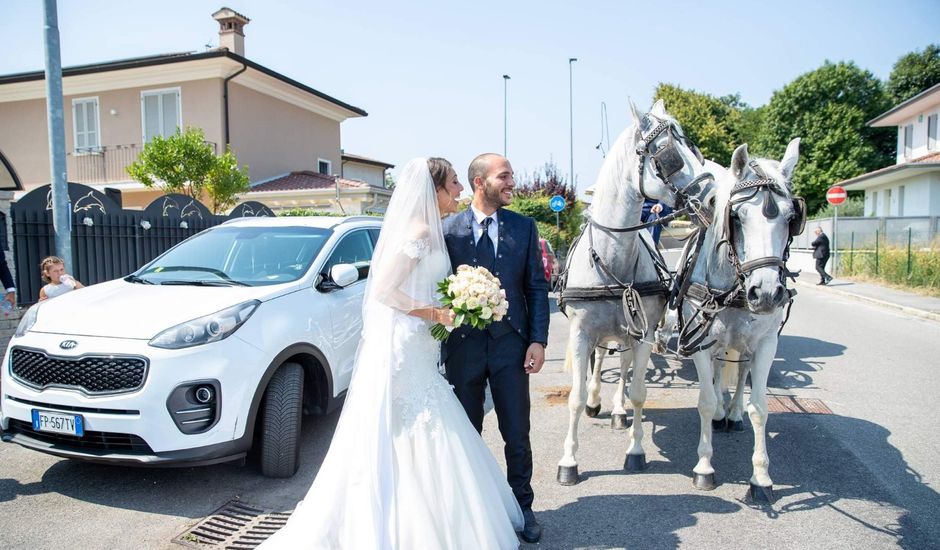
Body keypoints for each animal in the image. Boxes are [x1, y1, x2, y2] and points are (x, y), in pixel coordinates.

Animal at [560, 100, 712, 488]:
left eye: (694, 147)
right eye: (670, 155)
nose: (713, 198)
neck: (612, 258)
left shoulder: (643, 331)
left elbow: (639, 392)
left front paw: (636, 451)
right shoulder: (580, 333)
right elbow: (575, 396)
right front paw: (569, 461)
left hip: (629, 330)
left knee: (626, 367)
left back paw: (616, 410)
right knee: (601, 361)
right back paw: (597, 401)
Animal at [672, 140, 804, 502]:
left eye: (792, 218)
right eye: (737, 217)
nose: (767, 293)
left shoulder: (767, 344)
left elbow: (761, 407)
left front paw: (761, 478)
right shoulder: (699, 342)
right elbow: (704, 401)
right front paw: (704, 467)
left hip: (745, 345)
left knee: (741, 372)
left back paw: (732, 413)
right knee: (718, 373)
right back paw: (721, 412)